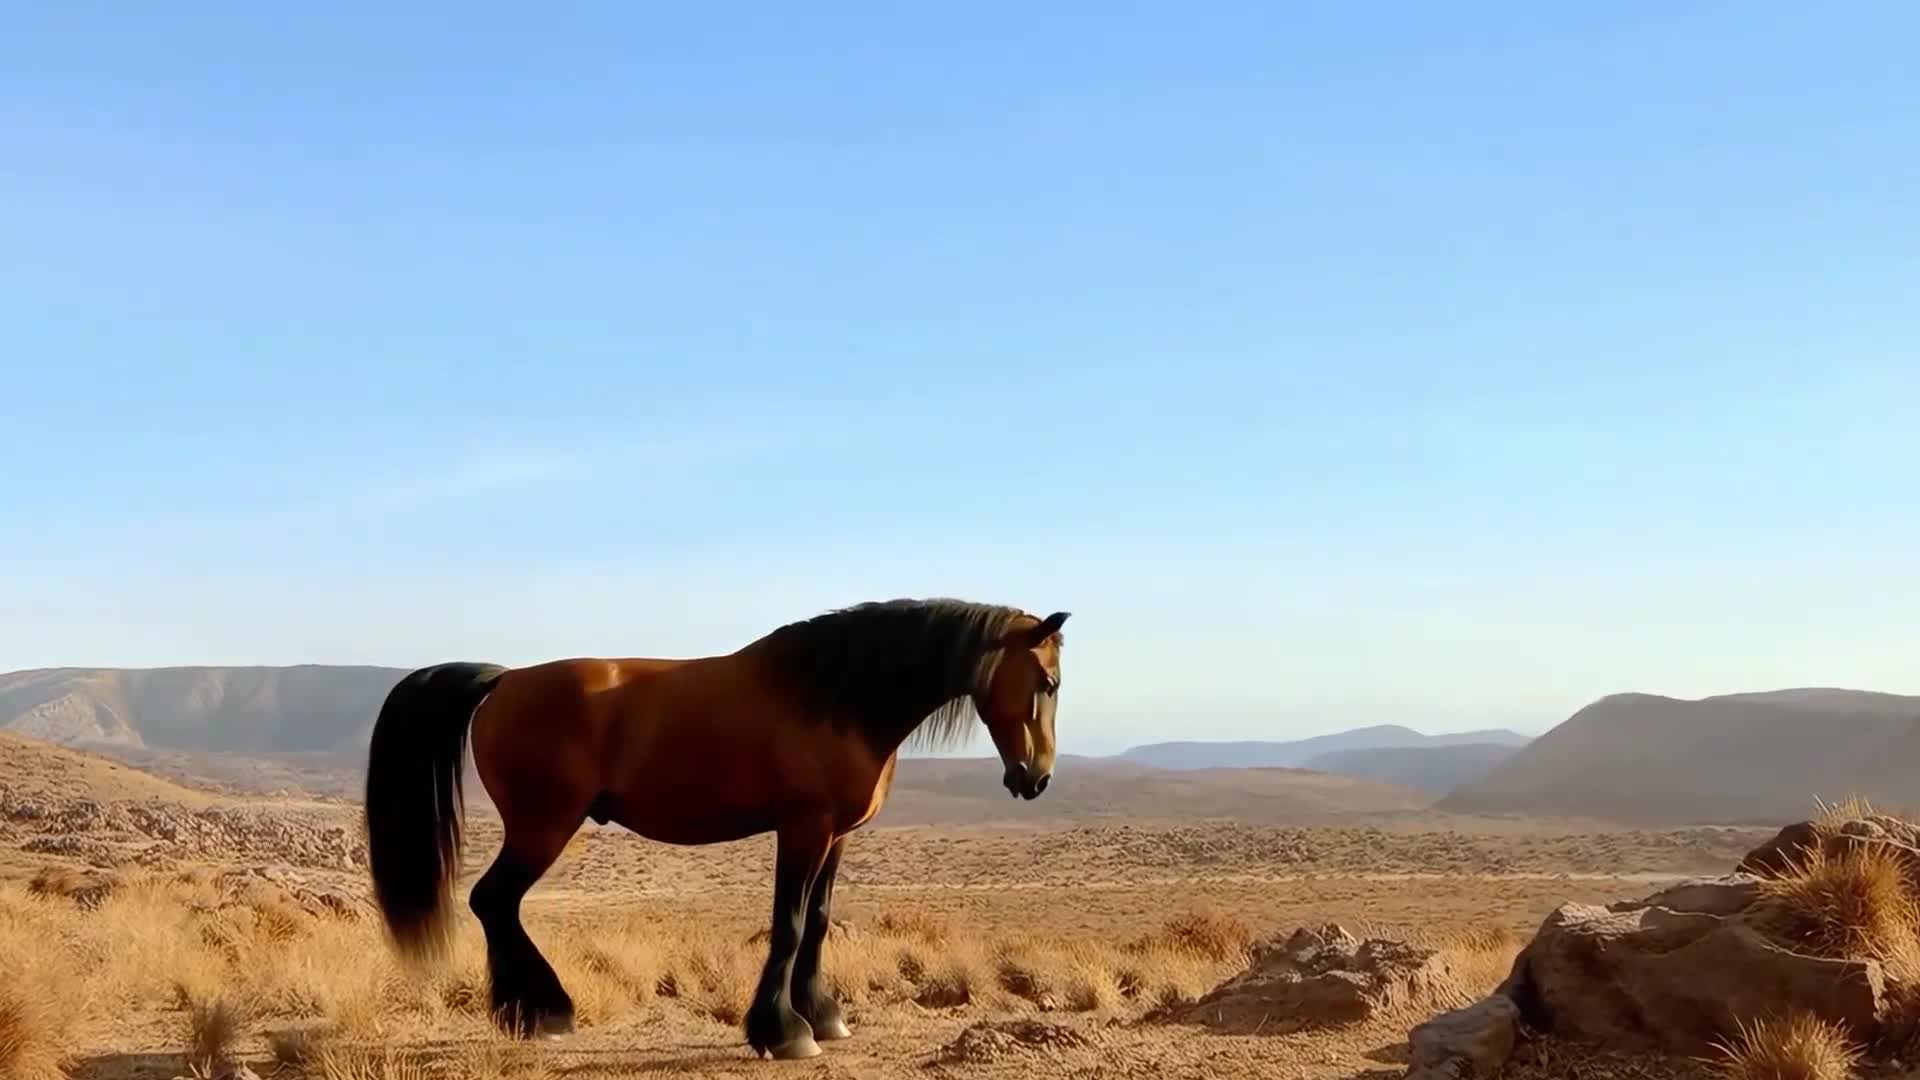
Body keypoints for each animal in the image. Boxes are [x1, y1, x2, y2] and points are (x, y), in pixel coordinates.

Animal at [362, 597, 1069, 1059]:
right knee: (493, 901)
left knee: (498, 905)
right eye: (1048, 681)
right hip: (544, 826)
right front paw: (785, 1033)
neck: (837, 697)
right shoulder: (804, 828)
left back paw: (535, 1012)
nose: (1036, 778)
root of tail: (504, 680)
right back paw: (543, 1011)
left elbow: (817, 923)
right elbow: (788, 925)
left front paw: (823, 1017)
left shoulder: (837, 836)